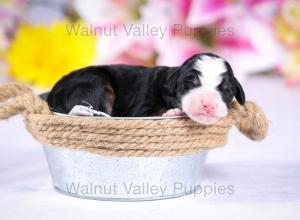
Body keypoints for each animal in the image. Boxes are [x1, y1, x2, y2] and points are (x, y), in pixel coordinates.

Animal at [46, 52, 244, 124]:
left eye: (226, 90)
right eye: (190, 84)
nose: (208, 105)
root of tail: (54, 93)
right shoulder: (141, 109)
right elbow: (156, 111)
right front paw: (173, 112)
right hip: (95, 84)